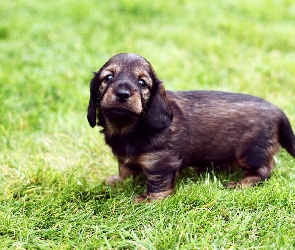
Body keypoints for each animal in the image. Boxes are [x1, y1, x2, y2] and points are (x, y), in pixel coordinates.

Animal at [87, 53, 295, 203]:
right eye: (108, 77)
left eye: (142, 82)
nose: (122, 94)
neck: (130, 129)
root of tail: (277, 111)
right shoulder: (125, 158)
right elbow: (124, 167)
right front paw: (118, 181)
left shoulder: (161, 162)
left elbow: (158, 184)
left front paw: (149, 199)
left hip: (251, 153)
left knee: (264, 171)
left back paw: (240, 183)